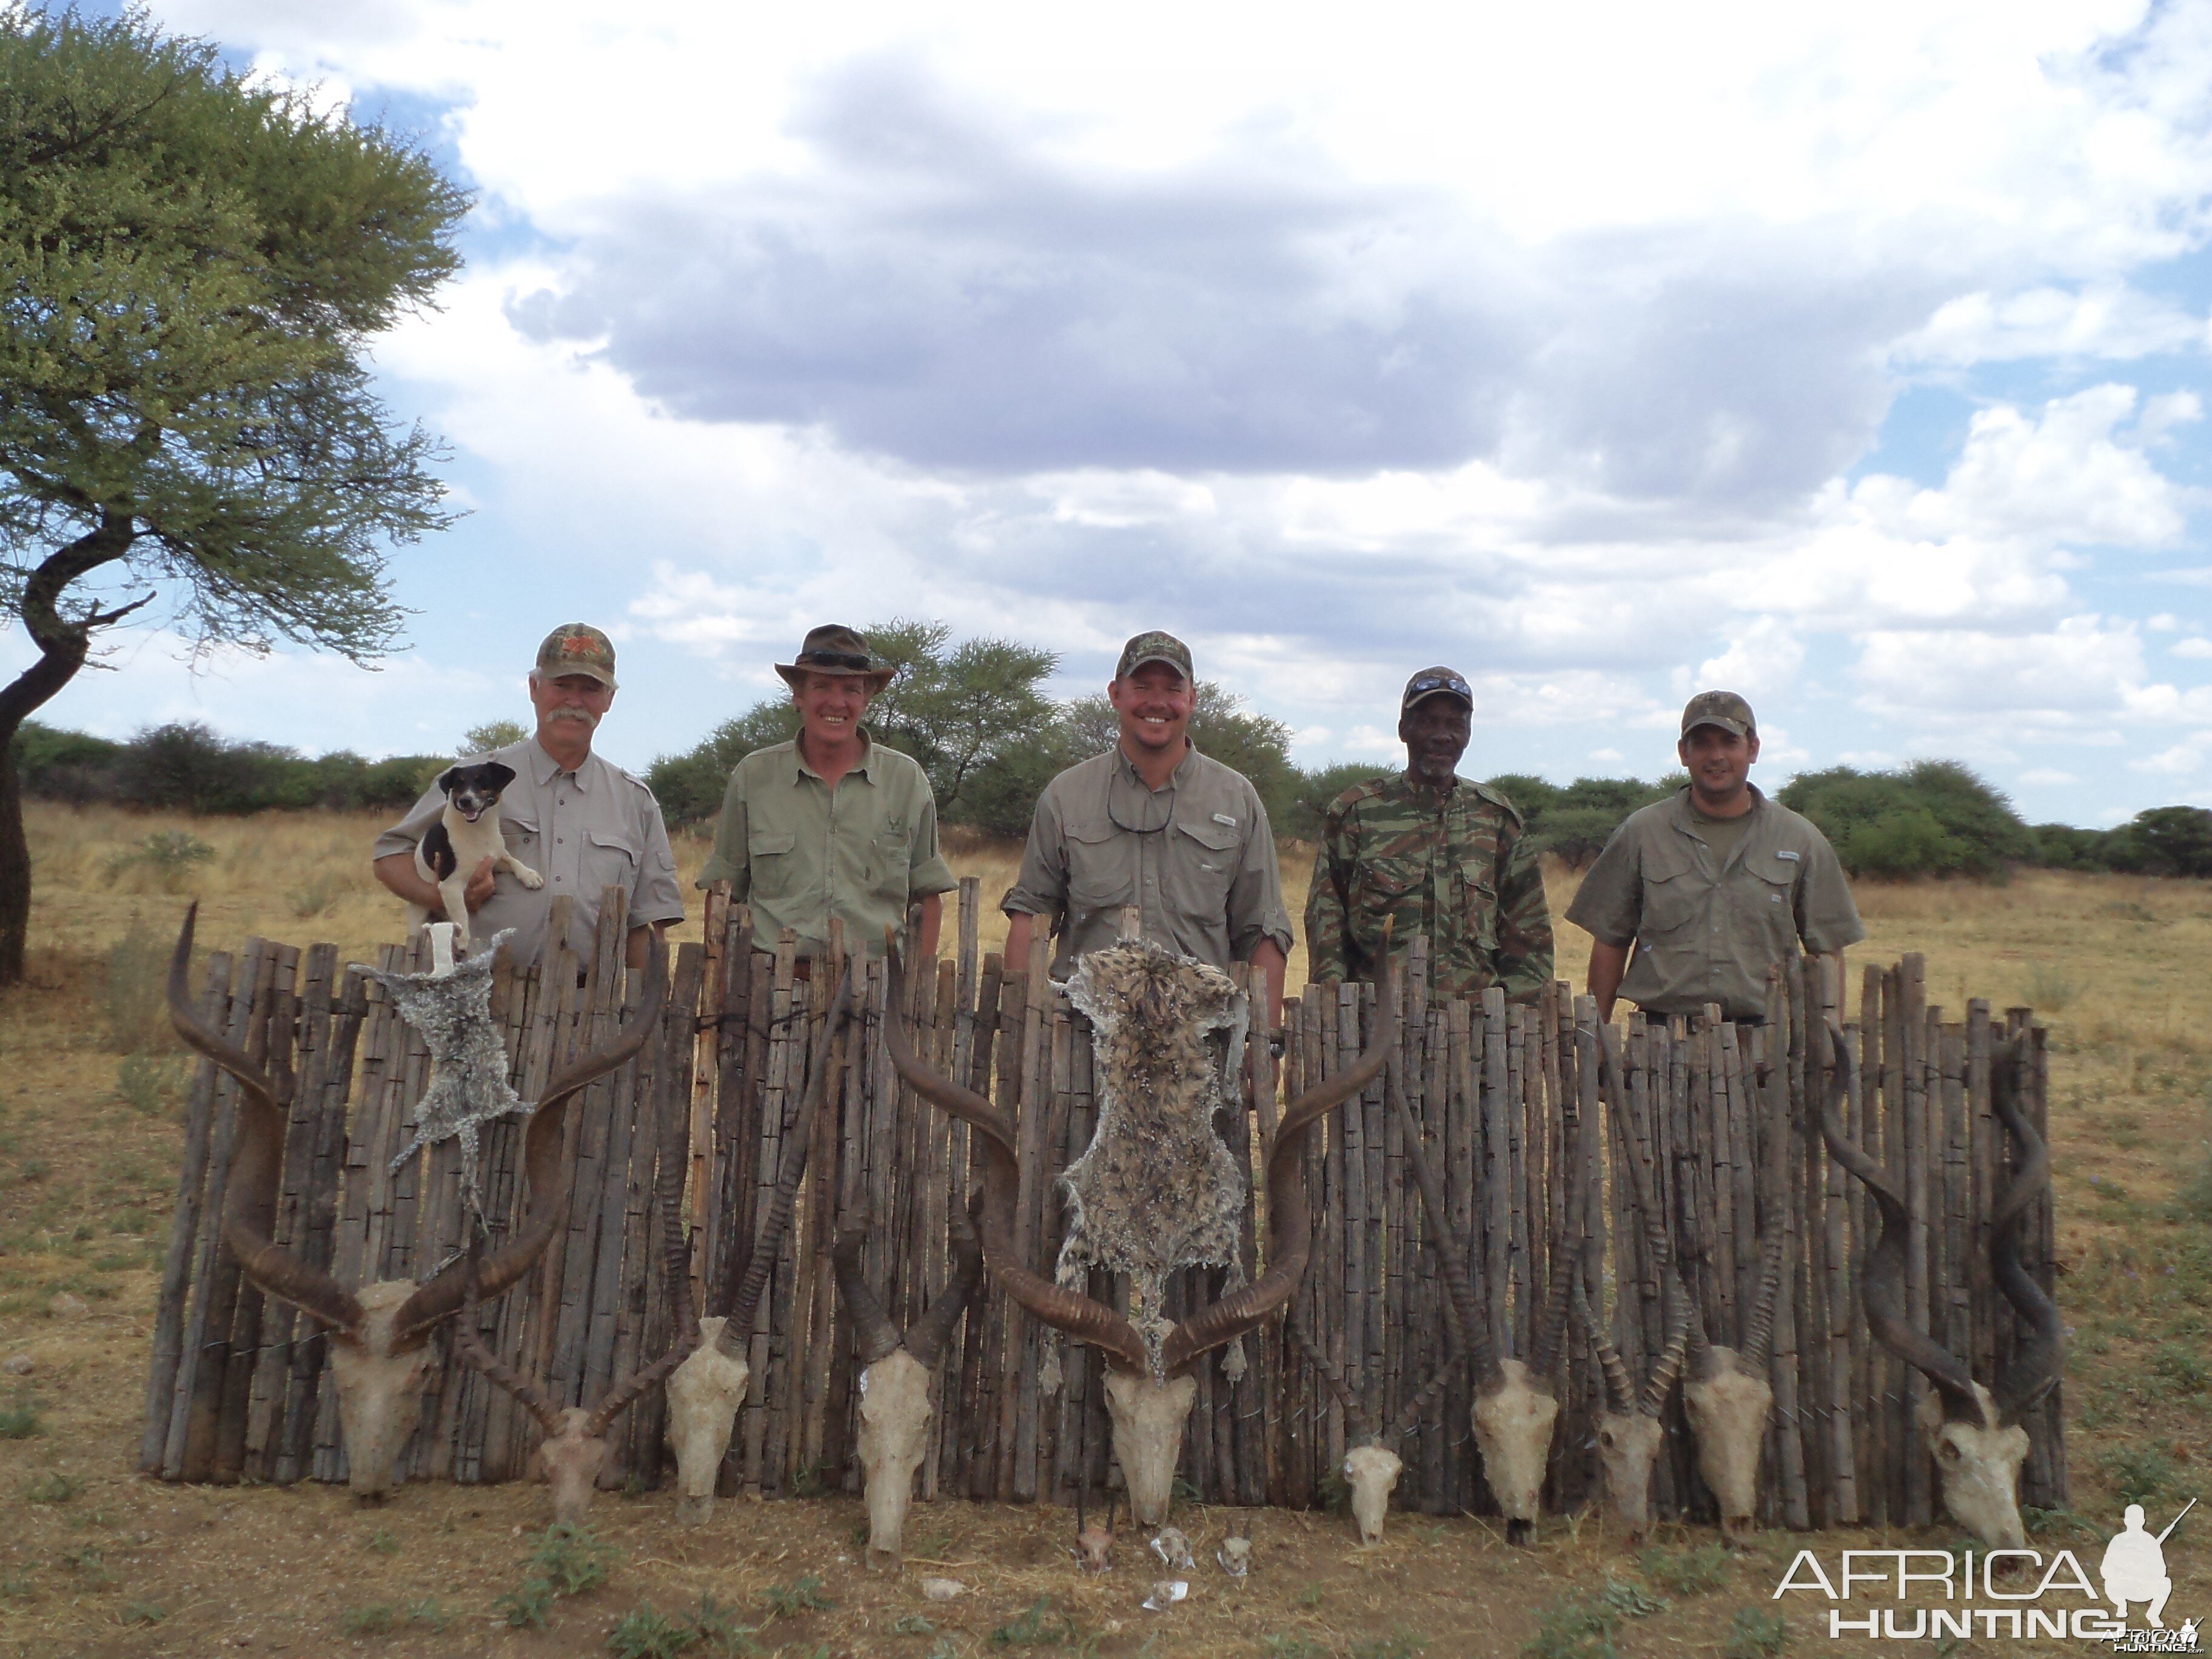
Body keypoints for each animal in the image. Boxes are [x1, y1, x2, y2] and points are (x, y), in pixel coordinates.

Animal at [409, 765, 541, 955]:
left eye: (483, 781)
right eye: (458, 784)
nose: (465, 800)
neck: (478, 831)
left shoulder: (494, 859)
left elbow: (512, 860)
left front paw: (529, 875)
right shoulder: (450, 885)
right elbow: (462, 914)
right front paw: (463, 939)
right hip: (417, 921)